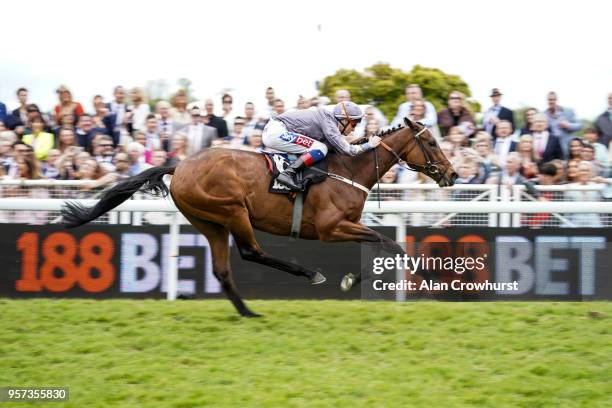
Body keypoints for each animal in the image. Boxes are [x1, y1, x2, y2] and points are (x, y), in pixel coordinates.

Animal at [63, 117, 454, 316]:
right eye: (431, 142)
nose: (452, 174)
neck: (348, 169)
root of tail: (181, 165)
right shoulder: (332, 227)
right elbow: (390, 243)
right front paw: (430, 282)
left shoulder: (345, 226)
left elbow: (386, 244)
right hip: (232, 210)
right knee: (251, 252)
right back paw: (308, 274)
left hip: (208, 221)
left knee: (223, 269)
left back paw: (248, 312)